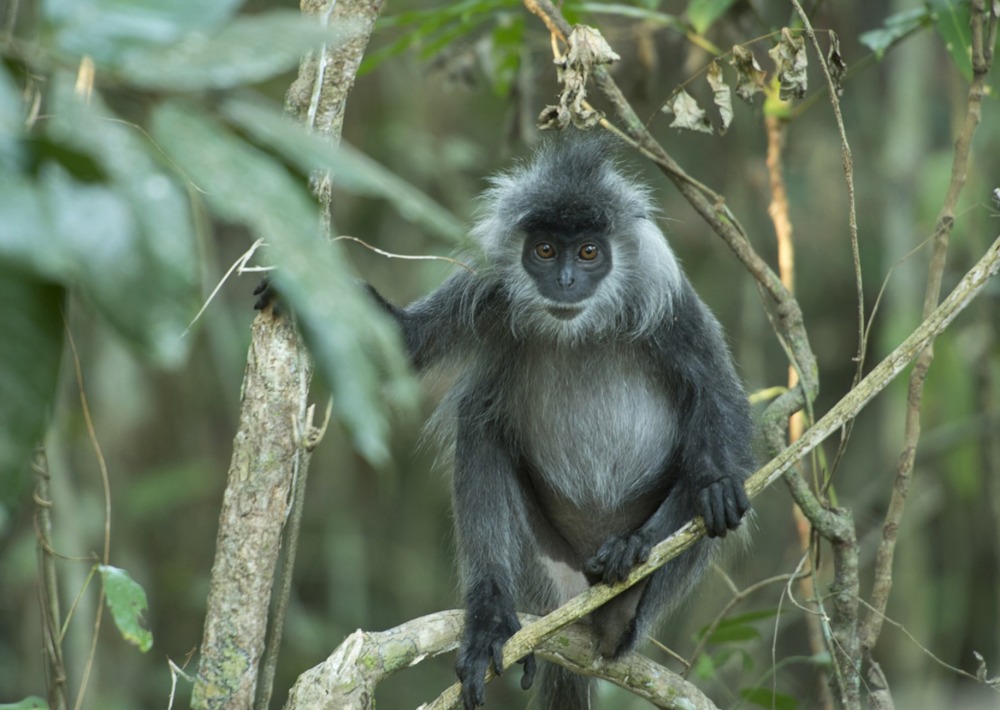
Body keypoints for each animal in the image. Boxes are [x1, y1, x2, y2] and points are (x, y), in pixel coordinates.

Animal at [372, 131, 752, 708]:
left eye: (589, 251)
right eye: (545, 250)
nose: (566, 279)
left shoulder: (668, 301)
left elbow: (719, 396)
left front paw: (716, 485)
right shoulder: (489, 291)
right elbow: (405, 343)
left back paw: (630, 564)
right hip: (542, 567)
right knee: (480, 426)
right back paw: (492, 618)